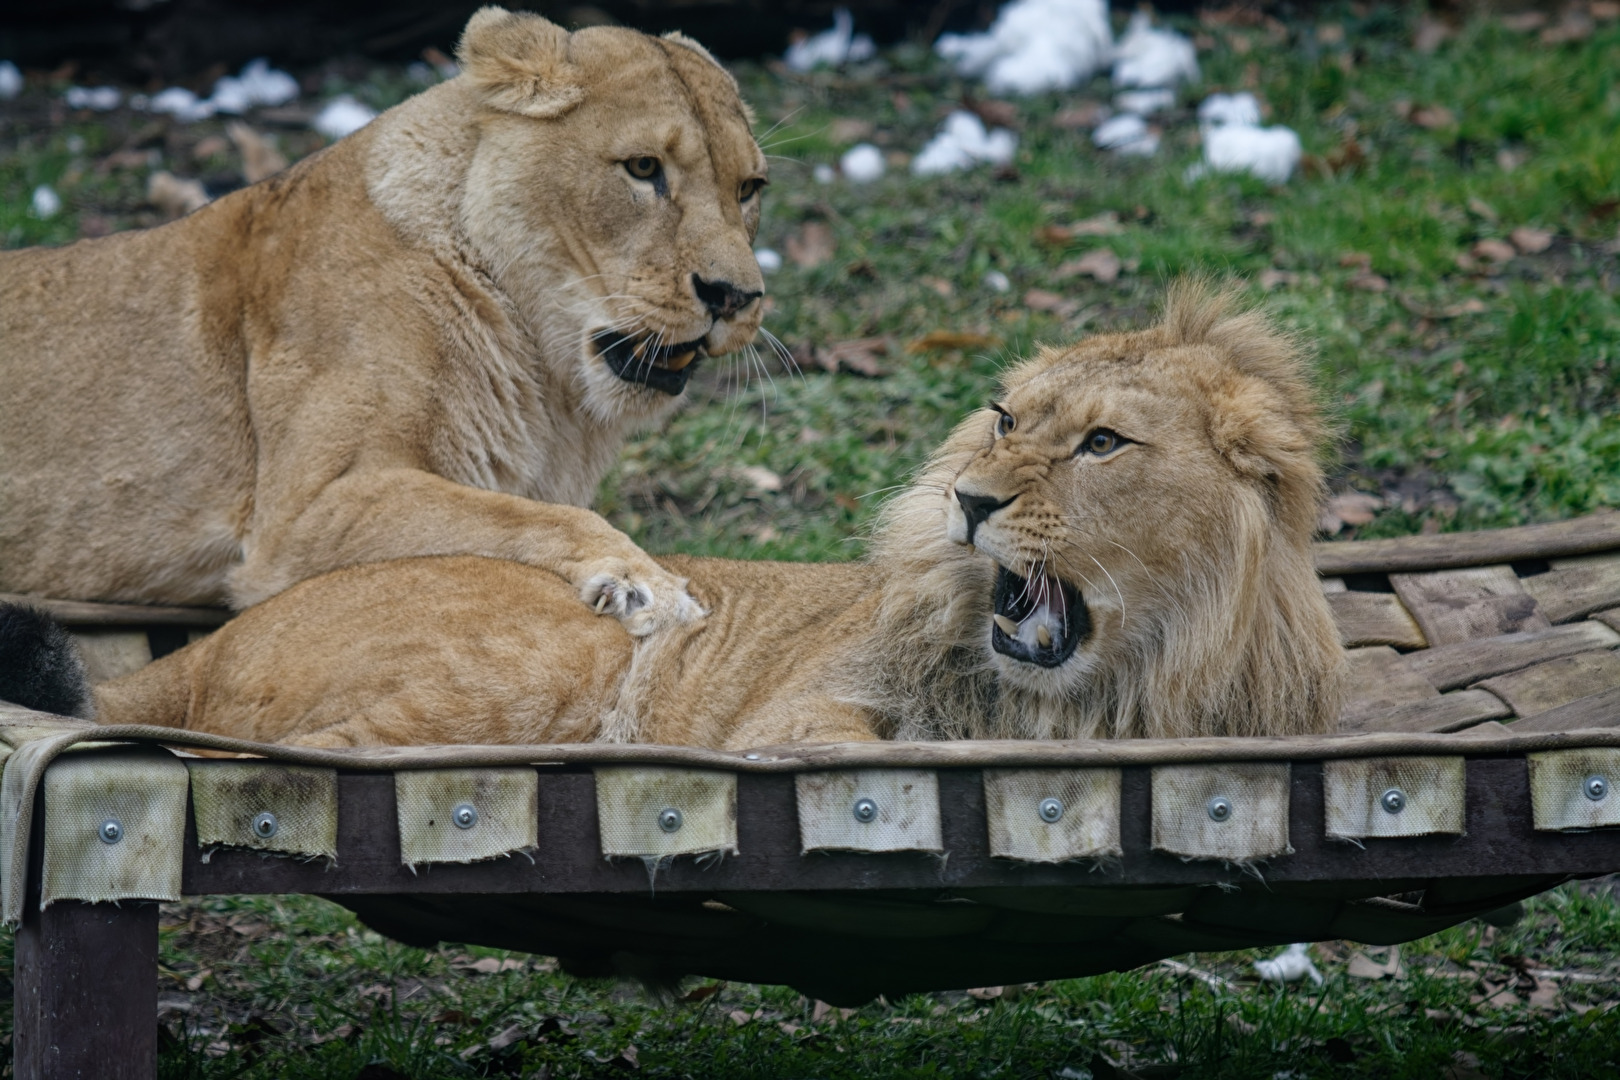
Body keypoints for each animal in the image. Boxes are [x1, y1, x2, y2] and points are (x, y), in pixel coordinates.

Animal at [0, 8, 768, 635]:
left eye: (749, 188)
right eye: (642, 168)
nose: (737, 296)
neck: (547, 377)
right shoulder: (300, 520)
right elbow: (516, 513)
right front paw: (642, 579)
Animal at [8, 282, 1345, 746]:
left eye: (1103, 445)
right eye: (1005, 419)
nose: (969, 501)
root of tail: (219, 641)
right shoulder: (796, 724)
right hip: (543, 658)